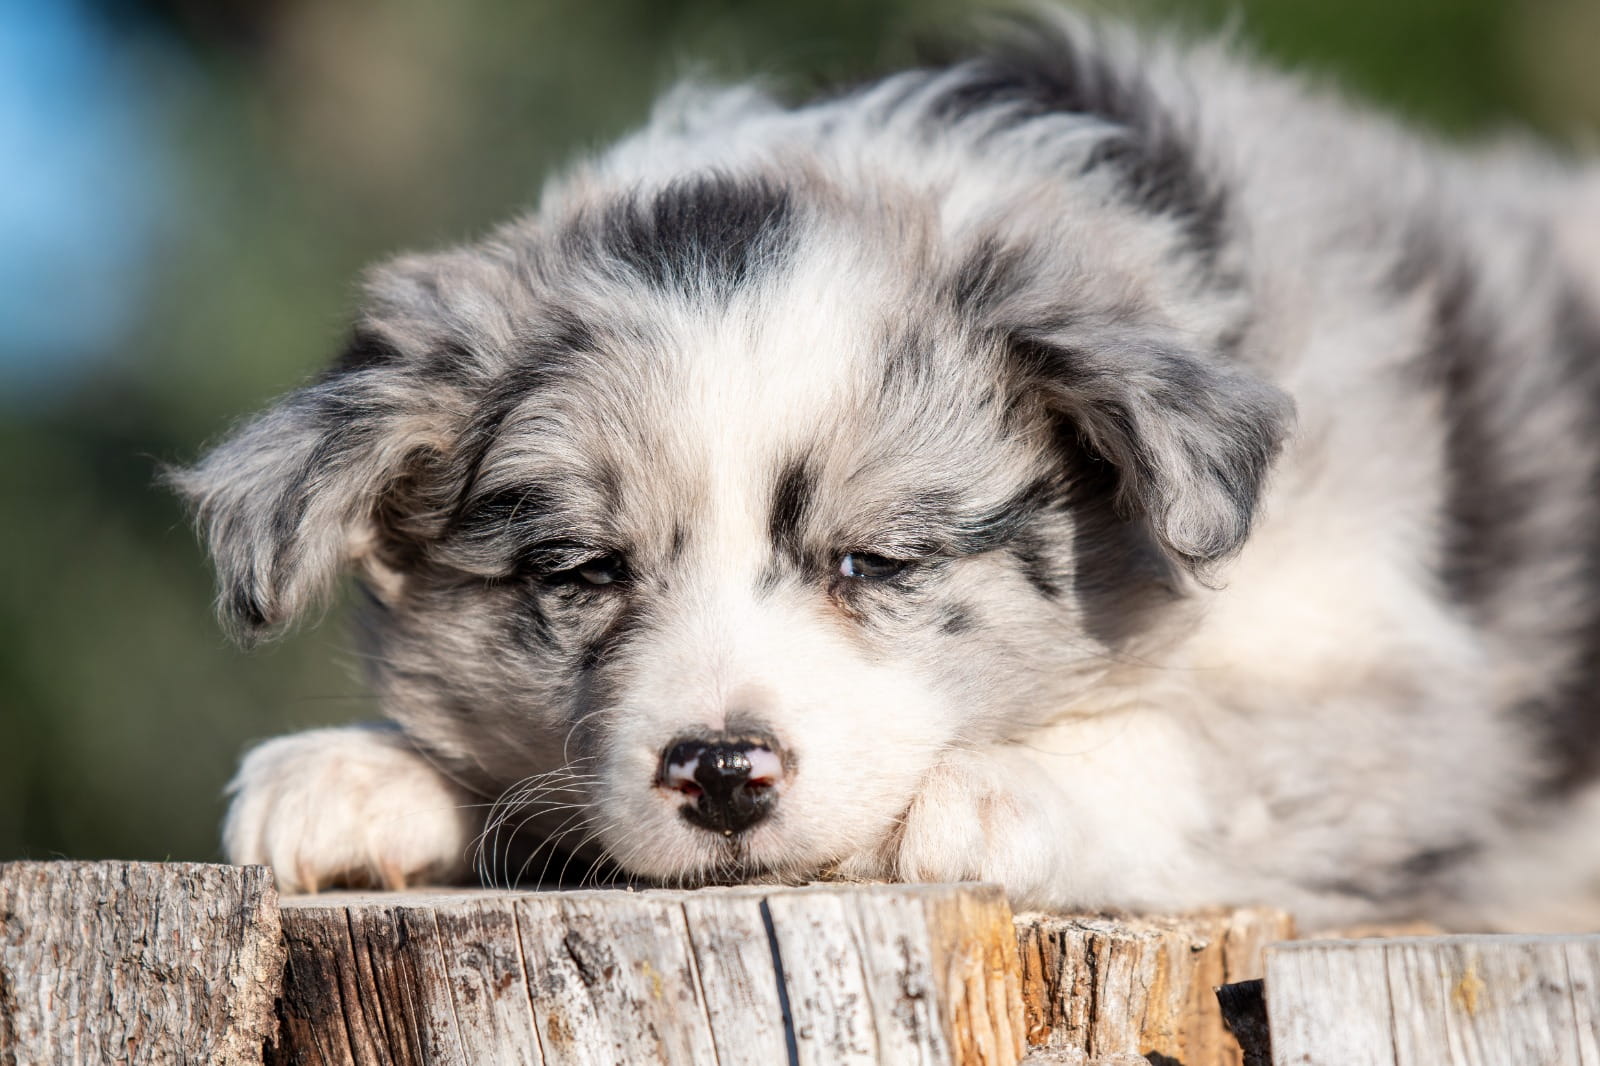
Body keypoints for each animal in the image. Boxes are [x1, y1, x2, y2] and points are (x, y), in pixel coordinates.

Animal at [173, 11, 1600, 930]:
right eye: (581, 570)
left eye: (873, 561)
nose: (721, 771)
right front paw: (358, 774)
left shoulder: (1402, 691)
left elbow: (1208, 750)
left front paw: (997, 790)